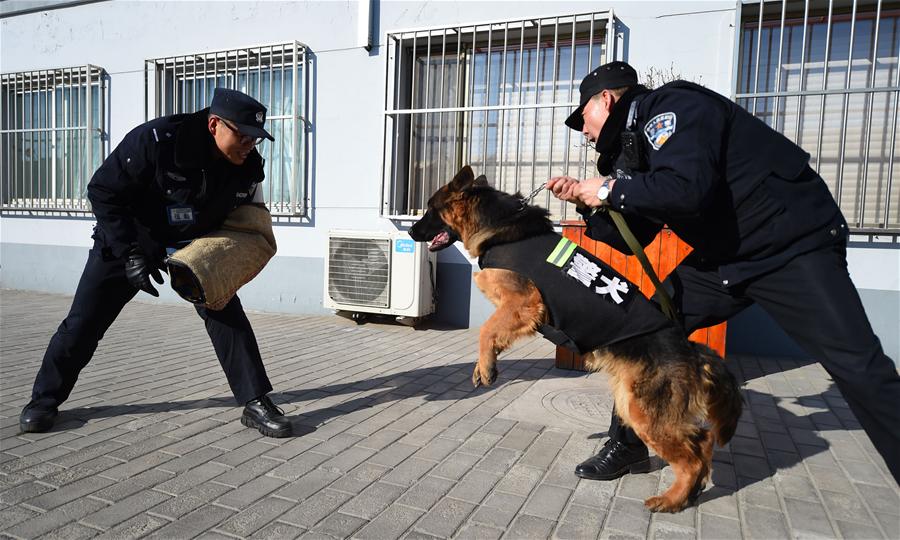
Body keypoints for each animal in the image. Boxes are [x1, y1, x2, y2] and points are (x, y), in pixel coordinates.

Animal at [412, 167, 740, 512]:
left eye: (430, 209)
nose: (411, 232)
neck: (498, 223)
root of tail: (691, 350)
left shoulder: (523, 303)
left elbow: (487, 329)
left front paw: (486, 366)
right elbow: (493, 332)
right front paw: (484, 365)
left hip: (644, 413)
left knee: (692, 456)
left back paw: (672, 499)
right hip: (633, 403)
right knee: (703, 442)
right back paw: (690, 491)